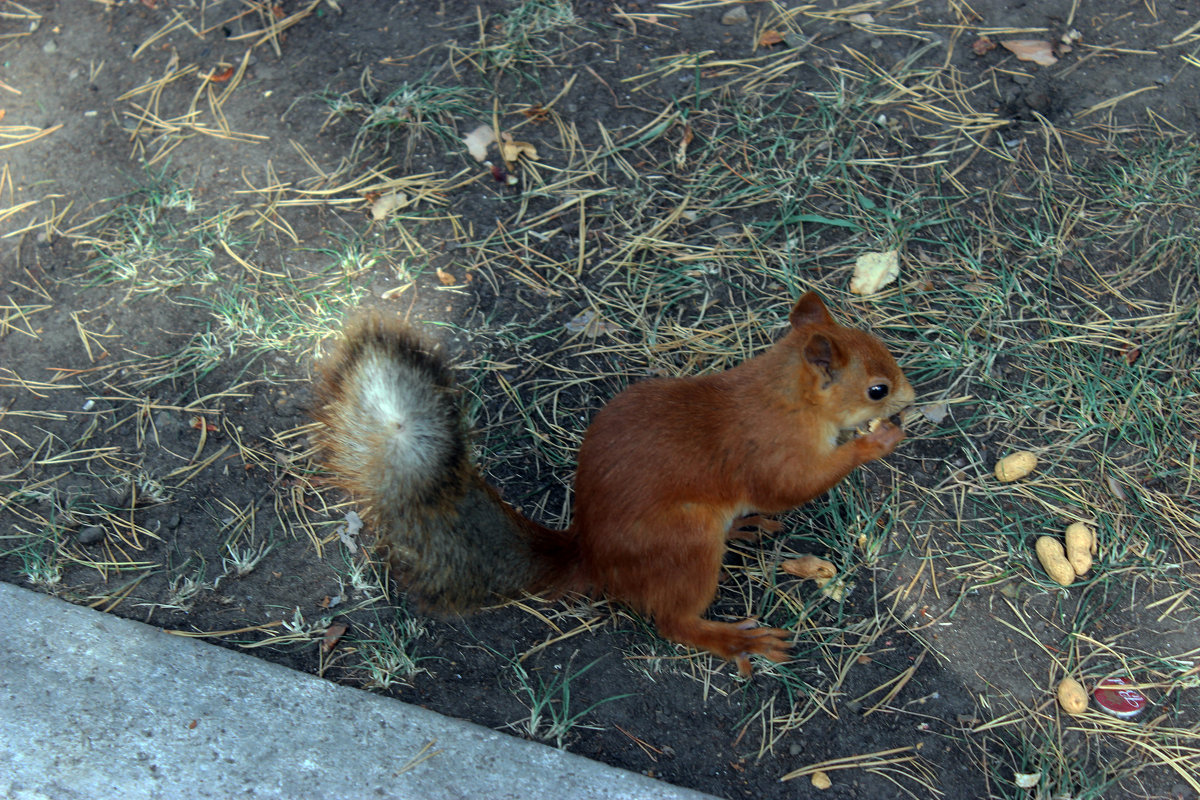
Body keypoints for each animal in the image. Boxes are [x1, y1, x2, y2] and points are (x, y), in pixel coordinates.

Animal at [314, 291, 912, 671]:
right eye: (877, 389)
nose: (909, 398)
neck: (784, 395)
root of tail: (592, 557)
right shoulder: (769, 452)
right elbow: (792, 487)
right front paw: (876, 441)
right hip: (685, 544)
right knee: (673, 621)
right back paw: (728, 639)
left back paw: (741, 531)